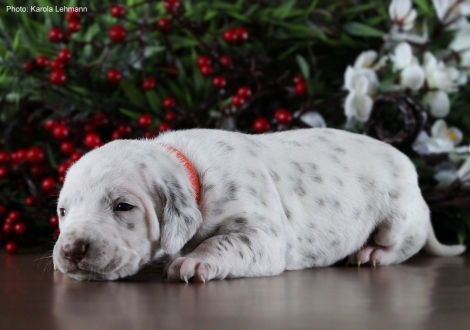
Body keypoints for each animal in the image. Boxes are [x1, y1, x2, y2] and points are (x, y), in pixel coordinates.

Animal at [53, 127, 464, 282]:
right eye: (62, 211)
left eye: (123, 207)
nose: (71, 250)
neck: (190, 169)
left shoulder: (261, 234)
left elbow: (223, 241)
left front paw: (192, 261)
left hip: (398, 217)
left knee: (404, 245)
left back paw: (372, 253)